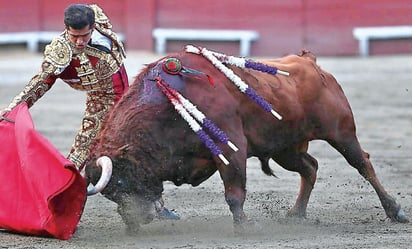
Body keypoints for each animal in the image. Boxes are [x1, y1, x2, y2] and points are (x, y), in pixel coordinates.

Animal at [83, 45, 406, 233]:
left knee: (363, 164)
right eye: (110, 193)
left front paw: (243, 226)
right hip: (285, 148)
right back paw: (296, 214)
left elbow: (234, 190)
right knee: (310, 168)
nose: (133, 223)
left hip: (341, 132)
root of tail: (310, 63)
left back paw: (395, 211)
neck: (166, 105)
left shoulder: (230, 145)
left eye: (124, 180)